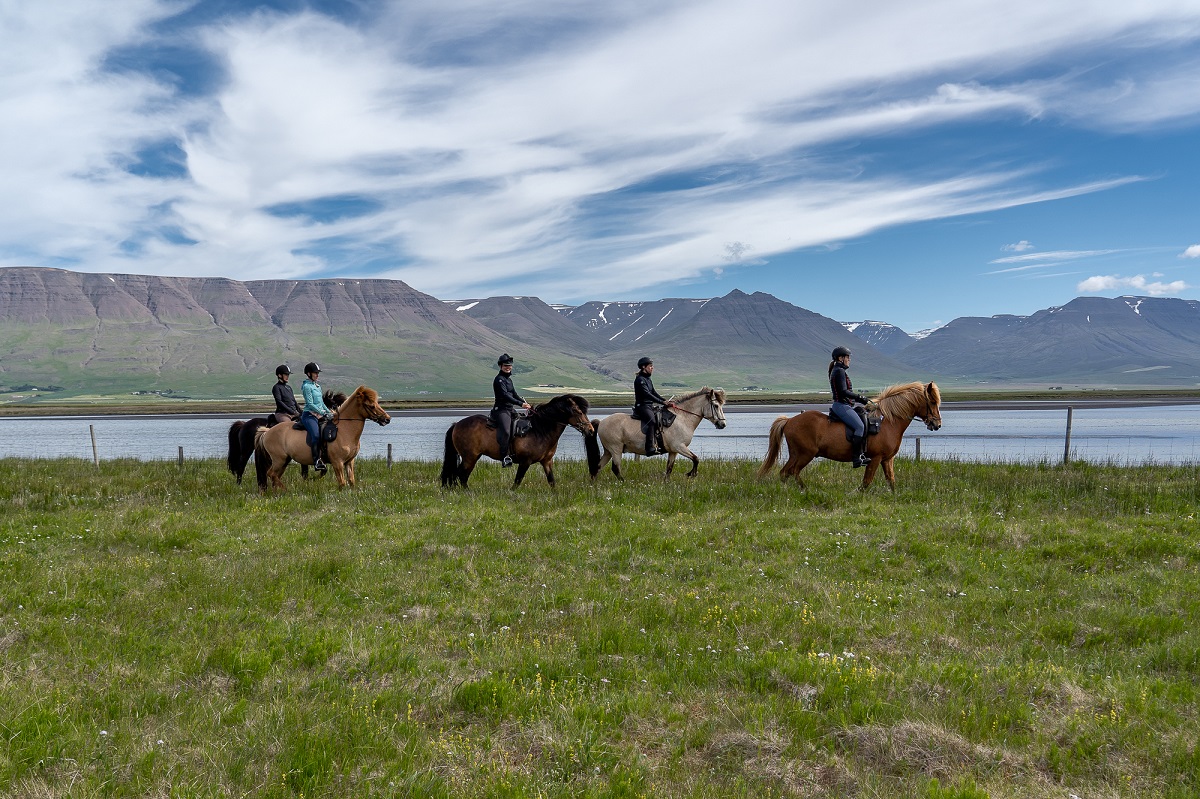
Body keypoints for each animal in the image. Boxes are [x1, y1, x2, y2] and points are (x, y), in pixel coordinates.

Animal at [255, 383, 391, 489]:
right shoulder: (337, 462)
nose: (387, 419)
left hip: (284, 461)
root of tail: (267, 432)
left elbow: (351, 482)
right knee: (271, 474)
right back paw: (285, 490)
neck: (344, 430)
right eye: (371, 405)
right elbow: (342, 483)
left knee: (274, 476)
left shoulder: (349, 462)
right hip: (279, 459)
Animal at [441, 391, 600, 484]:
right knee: (461, 475)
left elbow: (552, 481)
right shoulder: (525, 461)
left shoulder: (547, 461)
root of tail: (457, 424)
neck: (540, 430)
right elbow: (517, 481)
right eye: (577, 411)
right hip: (470, 457)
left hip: (472, 457)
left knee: (459, 475)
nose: (591, 430)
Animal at [588, 386, 724, 479]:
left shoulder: (673, 451)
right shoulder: (679, 447)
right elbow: (696, 459)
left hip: (608, 451)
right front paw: (691, 474)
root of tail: (602, 422)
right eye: (716, 406)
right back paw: (623, 483)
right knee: (615, 469)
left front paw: (666, 484)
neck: (682, 418)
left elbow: (669, 469)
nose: (722, 424)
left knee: (597, 468)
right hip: (616, 449)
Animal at [753, 379, 940, 484]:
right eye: (932, 402)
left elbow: (891, 481)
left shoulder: (887, 459)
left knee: (786, 472)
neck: (887, 421)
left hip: (797, 454)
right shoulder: (875, 458)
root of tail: (790, 420)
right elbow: (866, 482)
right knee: (792, 472)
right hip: (805, 454)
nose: (937, 424)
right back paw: (803, 490)